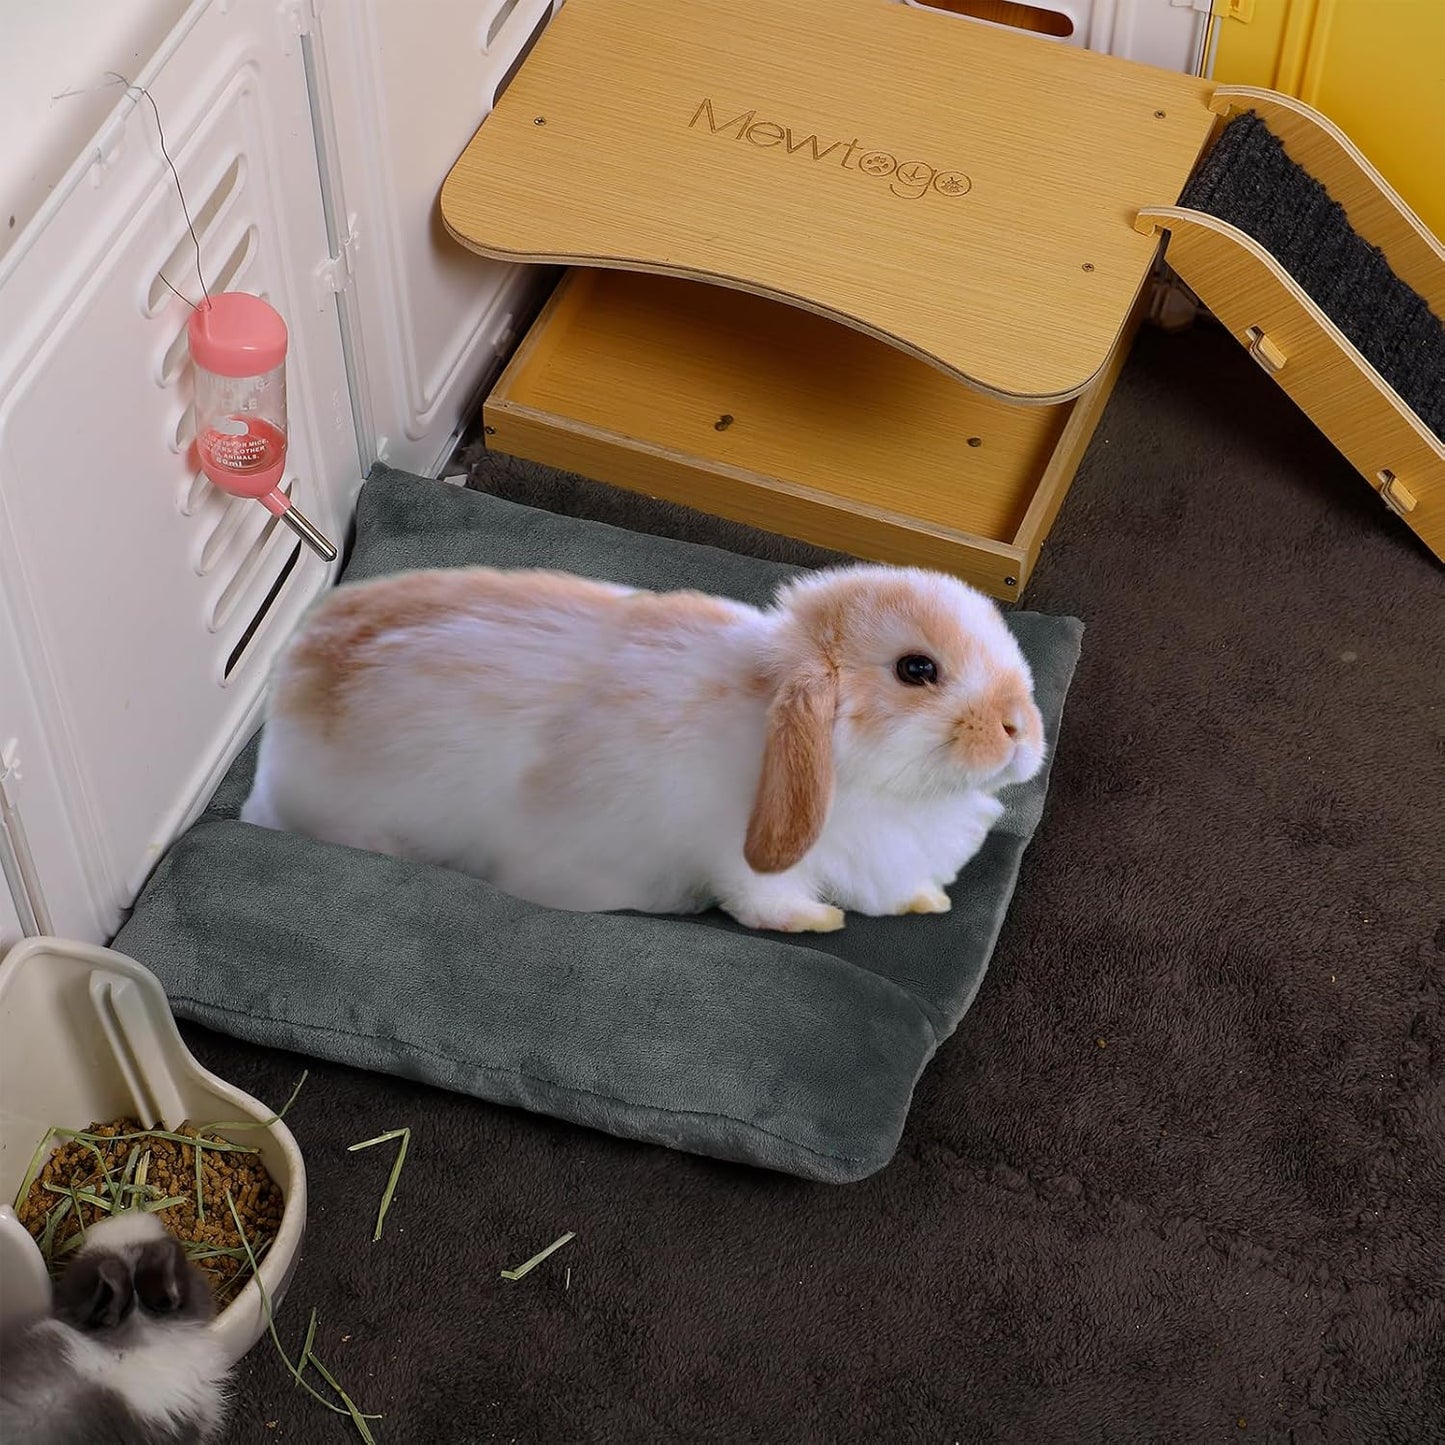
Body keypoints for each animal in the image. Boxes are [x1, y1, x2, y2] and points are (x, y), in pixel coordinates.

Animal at [241, 562, 1046, 933]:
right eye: (917, 670)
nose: (1021, 728)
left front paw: (930, 901)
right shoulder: (738, 860)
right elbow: (763, 898)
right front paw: (816, 921)